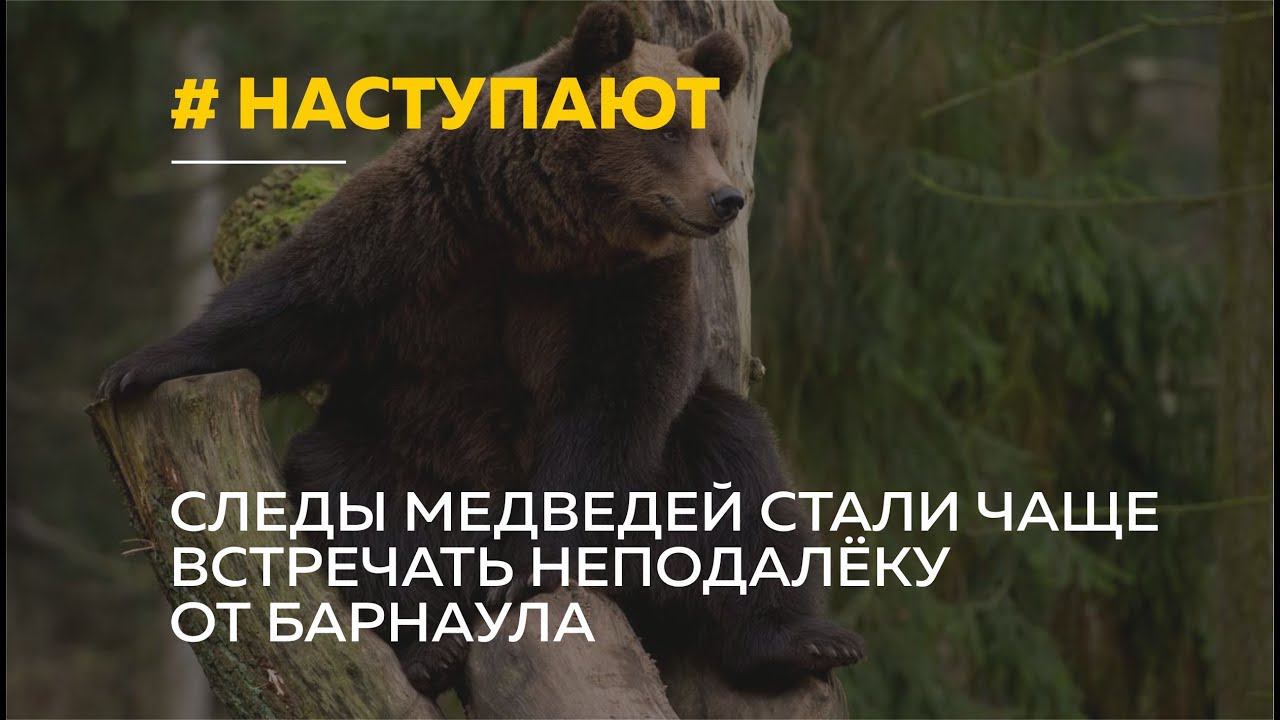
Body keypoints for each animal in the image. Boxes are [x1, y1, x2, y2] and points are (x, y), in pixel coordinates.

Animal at [98, 2, 864, 697]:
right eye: (670, 130)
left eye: (714, 135)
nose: (725, 198)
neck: (545, 230)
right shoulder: (427, 227)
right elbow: (299, 302)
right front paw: (137, 365)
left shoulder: (631, 290)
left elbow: (617, 404)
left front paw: (535, 560)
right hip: (409, 451)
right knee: (355, 494)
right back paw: (428, 648)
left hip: (658, 491)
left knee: (733, 465)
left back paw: (800, 641)